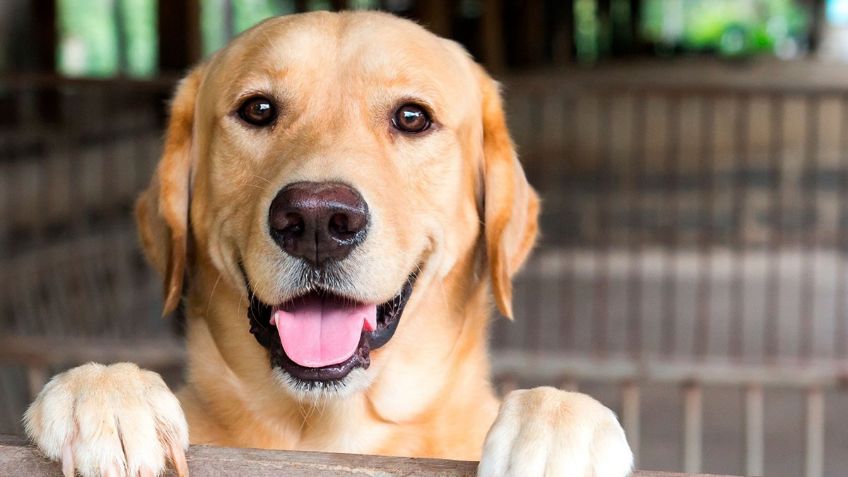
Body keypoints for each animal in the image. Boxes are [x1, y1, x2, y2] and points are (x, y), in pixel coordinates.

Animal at [21, 11, 628, 476]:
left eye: (412, 117)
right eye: (258, 109)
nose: (316, 220)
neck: (331, 431)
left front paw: (557, 426)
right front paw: (105, 393)